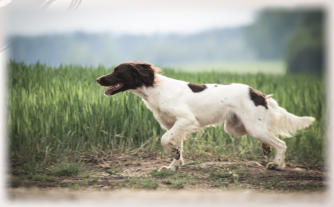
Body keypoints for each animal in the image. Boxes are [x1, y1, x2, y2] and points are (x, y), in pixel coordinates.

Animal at [96, 62, 316, 171]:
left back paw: (277, 164)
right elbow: (177, 146)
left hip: (253, 127)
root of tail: (259, 94)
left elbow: (165, 140)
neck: (154, 89)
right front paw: (173, 165)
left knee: (281, 144)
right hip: (237, 127)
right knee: (270, 138)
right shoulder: (174, 125)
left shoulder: (185, 120)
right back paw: (266, 149)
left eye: (117, 71)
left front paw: (173, 156)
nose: (98, 79)